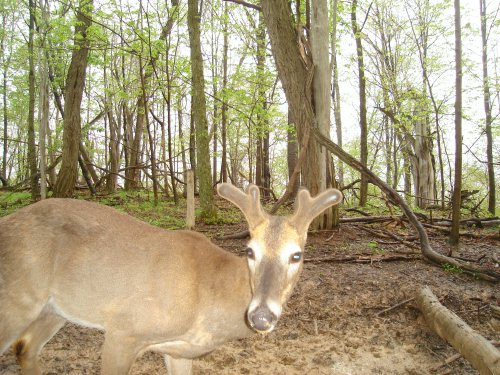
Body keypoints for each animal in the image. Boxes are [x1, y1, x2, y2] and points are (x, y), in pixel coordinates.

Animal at [0, 185, 342, 375]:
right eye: (250, 250)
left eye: (296, 255)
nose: (260, 316)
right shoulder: (125, 328)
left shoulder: (178, 351)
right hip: (15, 297)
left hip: (54, 309)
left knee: (25, 347)